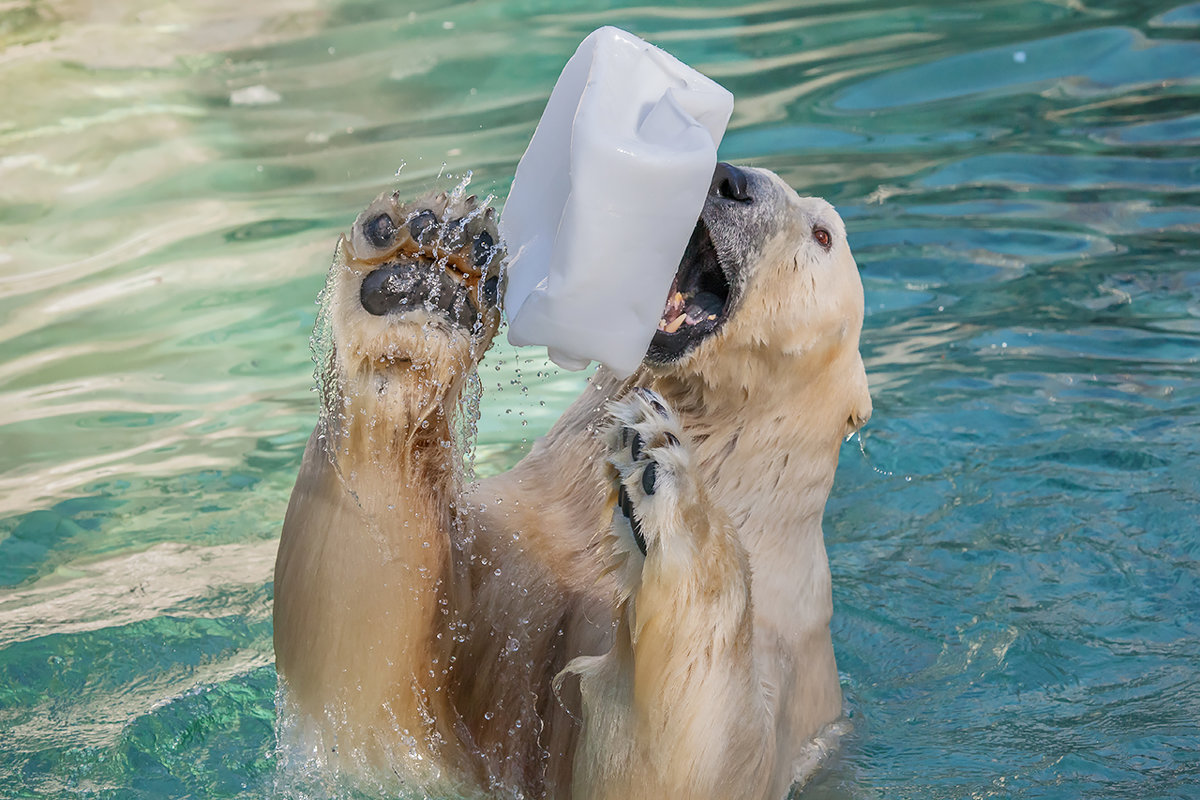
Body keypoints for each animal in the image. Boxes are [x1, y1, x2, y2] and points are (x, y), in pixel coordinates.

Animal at [272, 164, 873, 800]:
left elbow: (686, 762)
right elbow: (365, 656)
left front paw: (666, 476)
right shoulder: (514, 556)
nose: (730, 180)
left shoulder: (787, 675)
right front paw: (427, 270)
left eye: (823, 234)